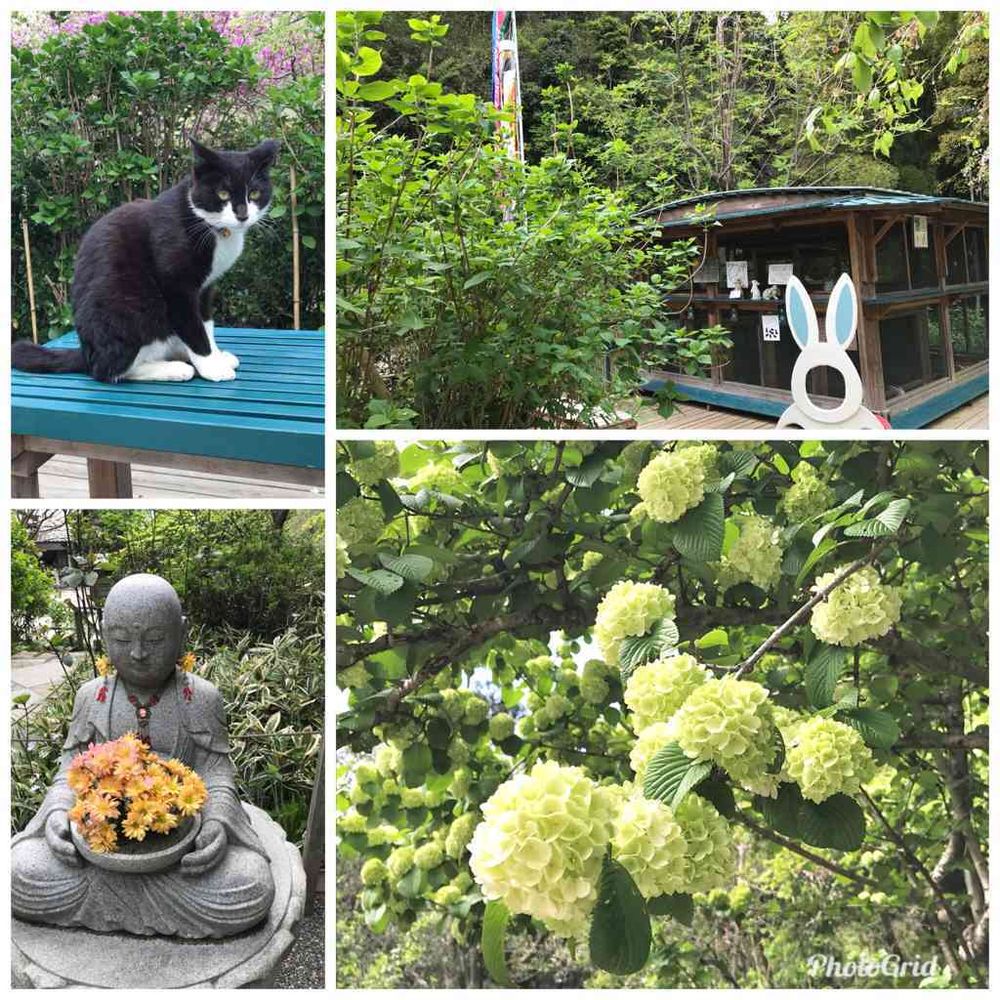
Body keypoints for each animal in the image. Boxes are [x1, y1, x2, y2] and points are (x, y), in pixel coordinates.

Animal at [11, 143, 280, 384]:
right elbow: (193, 327)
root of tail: (86, 354)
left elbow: (206, 323)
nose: (243, 215)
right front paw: (211, 367)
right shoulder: (176, 284)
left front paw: (215, 356)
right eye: (222, 193)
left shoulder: (206, 286)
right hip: (127, 310)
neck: (208, 225)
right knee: (107, 371)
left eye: (254, 194)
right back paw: (173, 369)